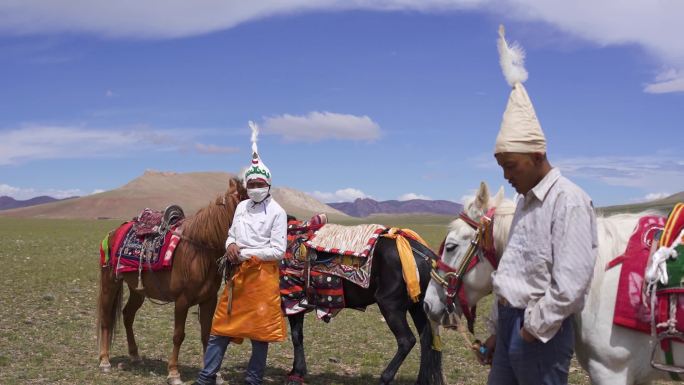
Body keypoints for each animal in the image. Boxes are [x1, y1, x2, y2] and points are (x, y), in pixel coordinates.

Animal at [96, 177, 246, 384]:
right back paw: (104, 361)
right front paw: (174, 373)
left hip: (137, 290)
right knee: (105, 317)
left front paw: (214, 374)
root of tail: (113, 232)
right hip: (110, 282)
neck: (198, 253)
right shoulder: (182, 301)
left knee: (127, 315)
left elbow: (206, 335)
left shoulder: (209, 300)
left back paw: (135, 355)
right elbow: (178, 335)